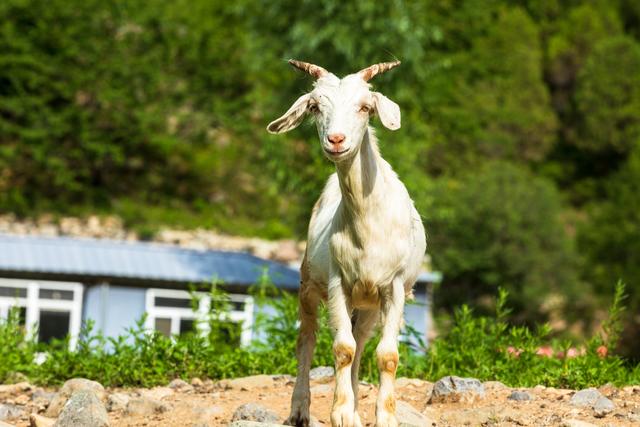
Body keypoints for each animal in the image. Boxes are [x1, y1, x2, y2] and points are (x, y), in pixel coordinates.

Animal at [266, 60, 424, 427]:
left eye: (365, 107)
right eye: (314, 107)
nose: (336, 140)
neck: (368, 225)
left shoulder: (394, 287)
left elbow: (386, 354)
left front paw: (383, 417)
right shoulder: (339, 282)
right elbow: (342, 349)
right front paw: (339, 412)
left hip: (367, 304)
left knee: (362, 341)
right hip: (309, 283)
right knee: (307, 339)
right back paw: (300, 410)